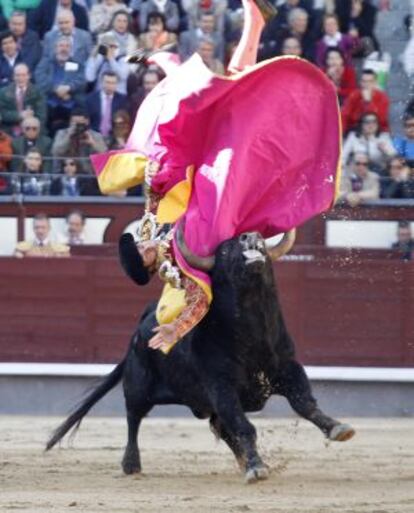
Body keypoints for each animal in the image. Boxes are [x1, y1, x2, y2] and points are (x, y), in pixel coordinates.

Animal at [46, 233, 356, 484]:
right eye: (224, 250)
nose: (251, 236)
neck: (253, 332)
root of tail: (145, 318)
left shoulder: (288, 368)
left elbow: (304, 403)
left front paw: (337, 428)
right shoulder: (221, 385)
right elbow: (245, 426)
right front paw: (256, 468)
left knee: (223, 429)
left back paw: (243, 461)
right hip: (138, 384)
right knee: (133, 417)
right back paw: (131, 464)